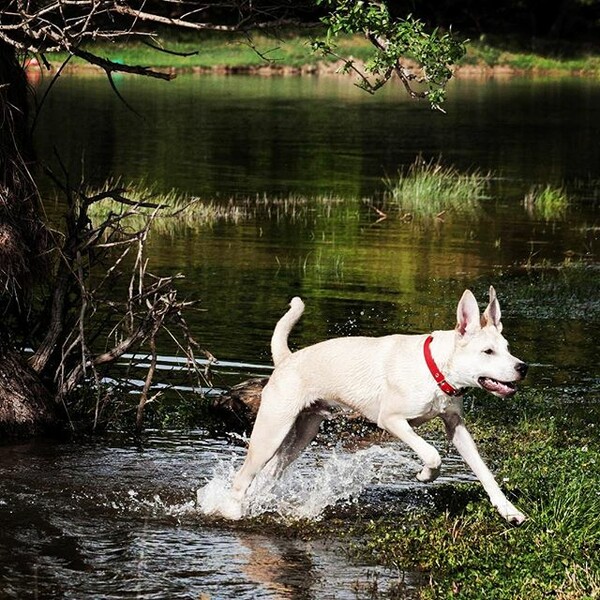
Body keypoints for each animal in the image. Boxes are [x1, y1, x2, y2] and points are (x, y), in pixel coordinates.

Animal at [218, 288, 528, 524]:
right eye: (487, 352)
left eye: (508, 349)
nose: (522, 368)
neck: (436, 368)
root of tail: (286, 359)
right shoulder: (391, 420)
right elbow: (432, 454)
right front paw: (424, 475)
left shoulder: (456, 426)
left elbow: (483, 471)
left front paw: (509, 511)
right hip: (272, 431)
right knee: (243, 477)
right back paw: (232, 511)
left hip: (302, 433)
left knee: (272, 471)